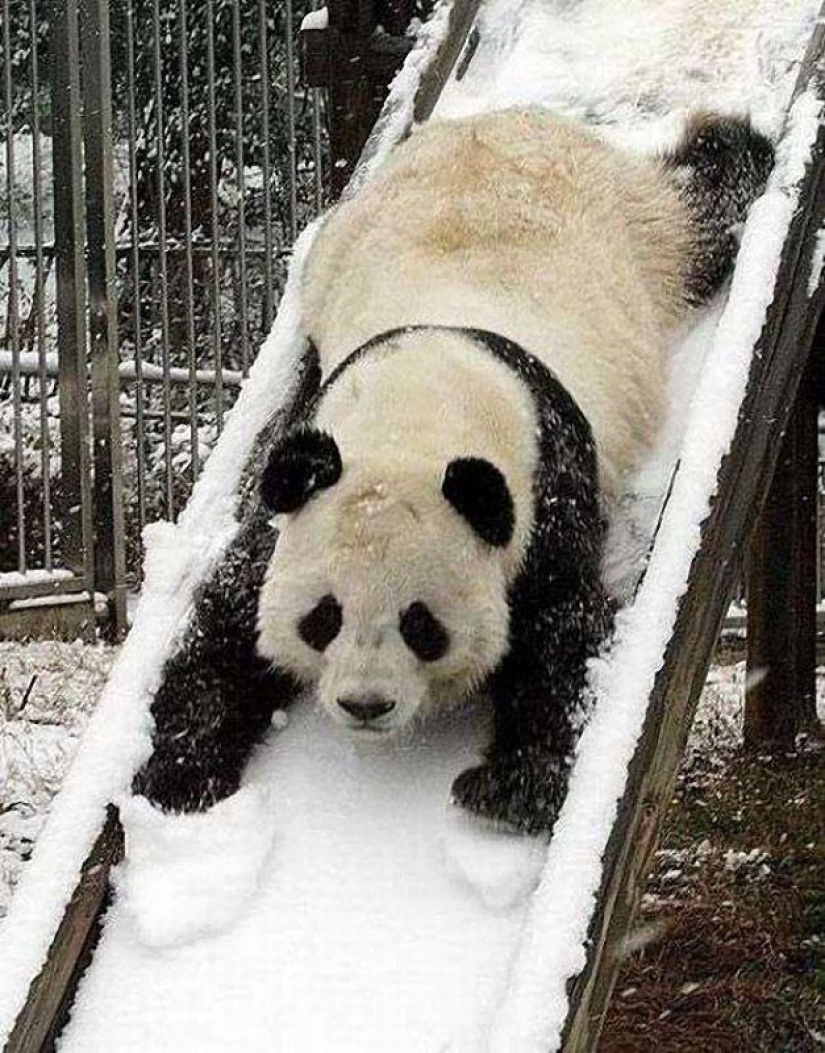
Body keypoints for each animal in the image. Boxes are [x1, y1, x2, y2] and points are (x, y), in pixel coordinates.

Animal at [134, 109, 773, 834]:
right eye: (323, 616)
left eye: (421, 624)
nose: (365, 704)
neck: (416, 413)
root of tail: (515, 118)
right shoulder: (303, 486)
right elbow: (229, 618)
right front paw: (180, 773)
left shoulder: (543, 487)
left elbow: (563, 633)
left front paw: (510, 789)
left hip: (636, 227)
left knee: (699, 210)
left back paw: (725, 138)